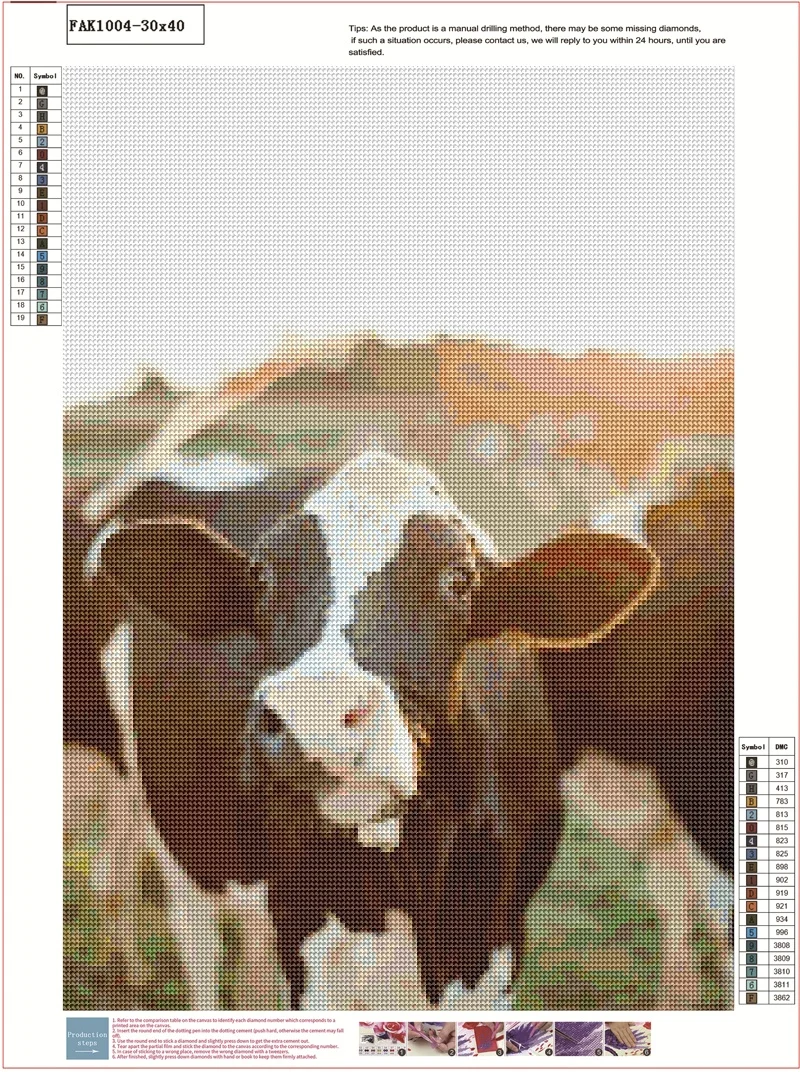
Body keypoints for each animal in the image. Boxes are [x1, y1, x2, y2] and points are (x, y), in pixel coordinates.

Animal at [86, 449, 657, 1010]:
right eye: (262, 578)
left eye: (460, 579)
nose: (313, 714)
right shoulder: (308, 939)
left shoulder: (494, 940)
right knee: (196, 939)